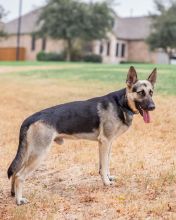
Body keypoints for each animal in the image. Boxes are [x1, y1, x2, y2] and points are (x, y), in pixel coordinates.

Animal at [7, 66, 157, 205]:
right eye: (140, 93)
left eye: (151, 93)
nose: (153, 107)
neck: (121, 103)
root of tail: (30, 118)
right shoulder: (105, 142)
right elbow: (104, 166)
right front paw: (106, 182)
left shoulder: (108, 144)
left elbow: (106, 164)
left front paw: (108, 178)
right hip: (39, 153)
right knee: (19, 175)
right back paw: (19, 200)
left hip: (30, 152)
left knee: (15, 171)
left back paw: (13, 194)